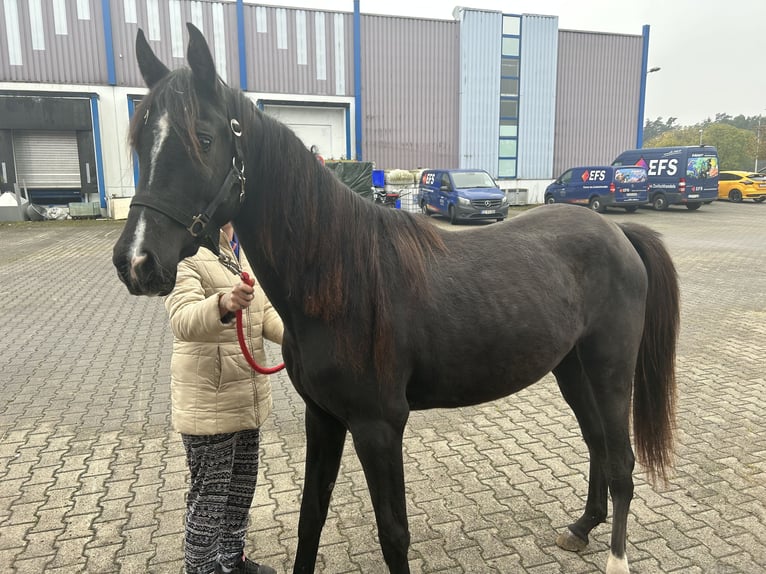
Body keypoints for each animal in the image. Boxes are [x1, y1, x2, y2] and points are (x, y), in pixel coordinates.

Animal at [112, 24, 680, 574]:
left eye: (204, 139)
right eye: (139, 142)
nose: (136, 261)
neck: (340, 281)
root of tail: (617, 233)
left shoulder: (378, 428)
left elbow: (393, 536)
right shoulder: (324, 419)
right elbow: (310, 518)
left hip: (610, 369)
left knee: (621, 461)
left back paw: (616, 559)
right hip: (572, 368)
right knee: (598, 445)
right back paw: (582, 528)